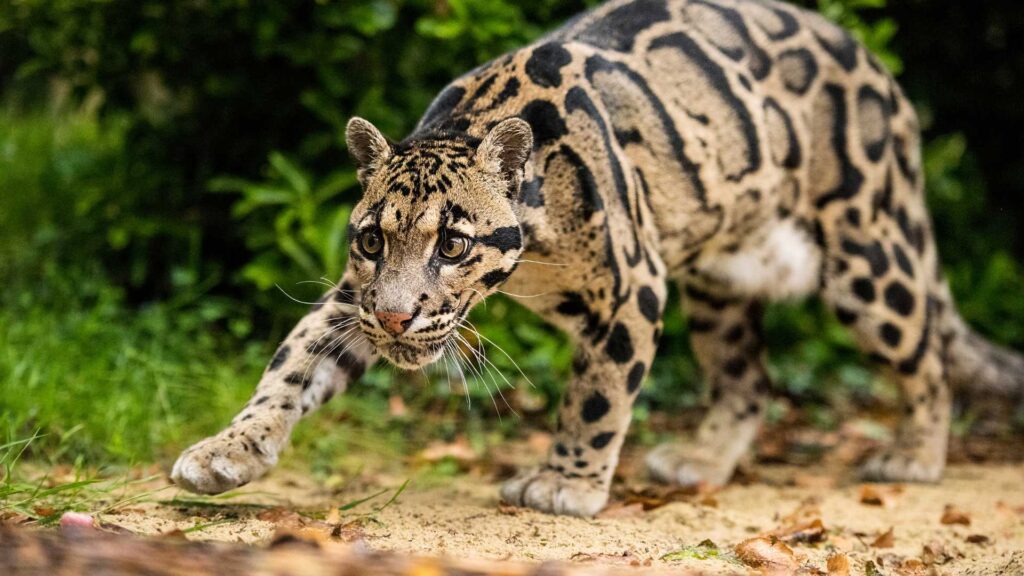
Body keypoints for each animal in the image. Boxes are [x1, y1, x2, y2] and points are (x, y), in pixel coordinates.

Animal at [172, 0, 1024, 517]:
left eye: (453, 243)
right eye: (372, 238)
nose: (394, 318)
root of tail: (883, 74)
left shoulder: (632, 285)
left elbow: (597, 393)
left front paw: (564, 483)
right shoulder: (352, 296)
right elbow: (289, 367)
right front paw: (227, 451)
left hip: (868, 257)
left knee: (926, 358)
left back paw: (914, 455)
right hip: (721, 281)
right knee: (748, 380)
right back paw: (703, 459)